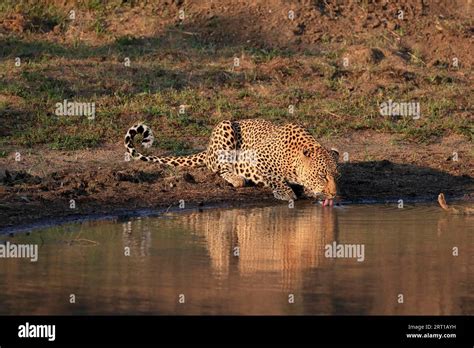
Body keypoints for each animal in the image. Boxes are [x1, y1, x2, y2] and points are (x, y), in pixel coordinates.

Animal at [125, 119, 340, 204]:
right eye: (322, 175)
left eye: (335, 176)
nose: (334, 194)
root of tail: (208, 149)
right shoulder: (257, 158)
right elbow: (274, 177)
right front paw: (286, 192)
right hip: (225, 127)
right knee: (220, 168)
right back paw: (237, 178)